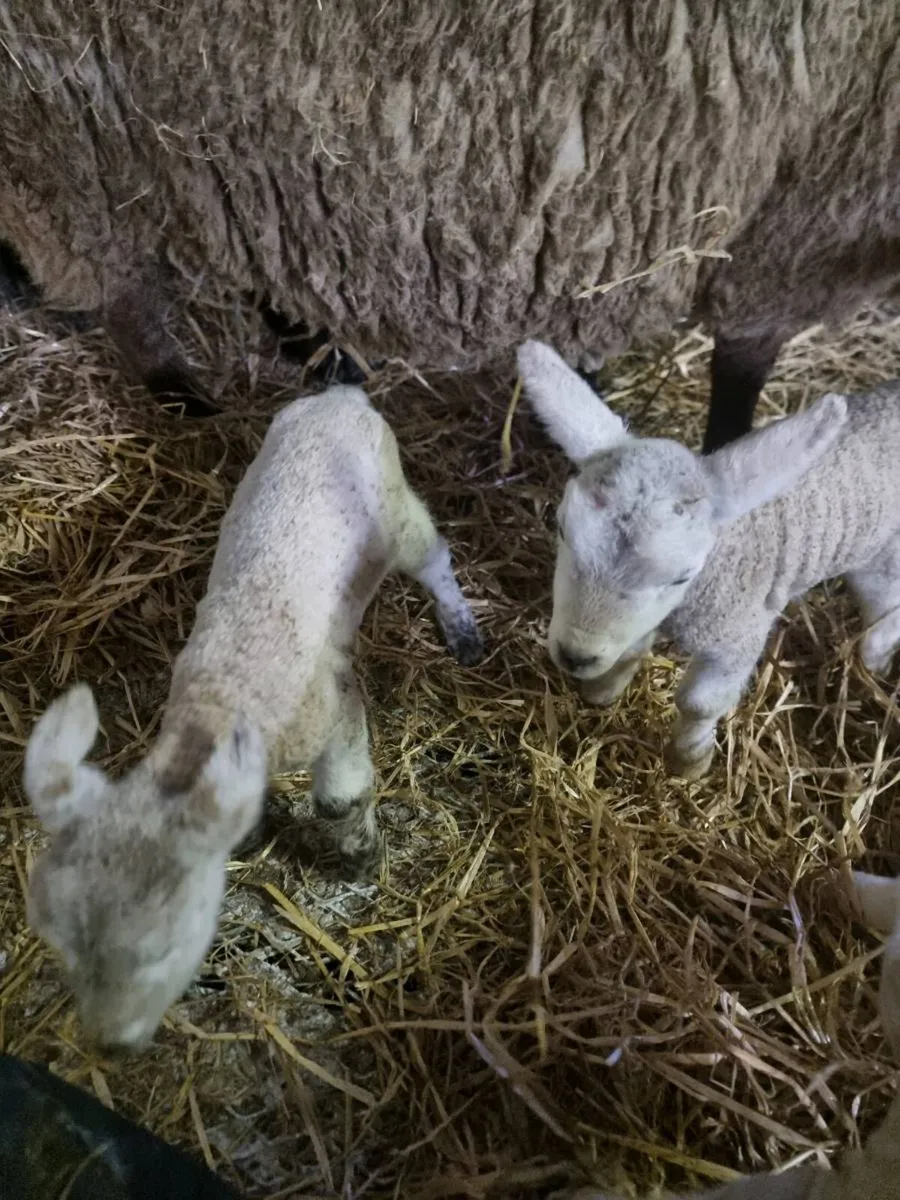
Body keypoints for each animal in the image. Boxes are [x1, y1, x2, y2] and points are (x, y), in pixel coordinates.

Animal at [0, 3, 898, 445]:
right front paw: (726, 457)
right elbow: (744, 365)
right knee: (119, 287)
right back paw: (183, 394)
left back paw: (319, 350)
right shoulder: (811, 200)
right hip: (67, 135)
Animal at [20, 382, 483, 1051]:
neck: (219, 698)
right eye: (58, 947)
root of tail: (340, 395)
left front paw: (361, 858)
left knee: (434, 556)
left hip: (397, 503)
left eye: (162, 952)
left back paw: (462, 630)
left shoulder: (335, 702)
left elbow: (339, 798)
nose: (110, 1045)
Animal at [517, 339, 900, 779]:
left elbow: (700, 704)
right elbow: (630, 649)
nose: (575, 656)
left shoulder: (739, 633)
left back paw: (873, 663)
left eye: (681, 577)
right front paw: (600, 691)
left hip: (882, 563)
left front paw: (690, 760)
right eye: (562, 529)